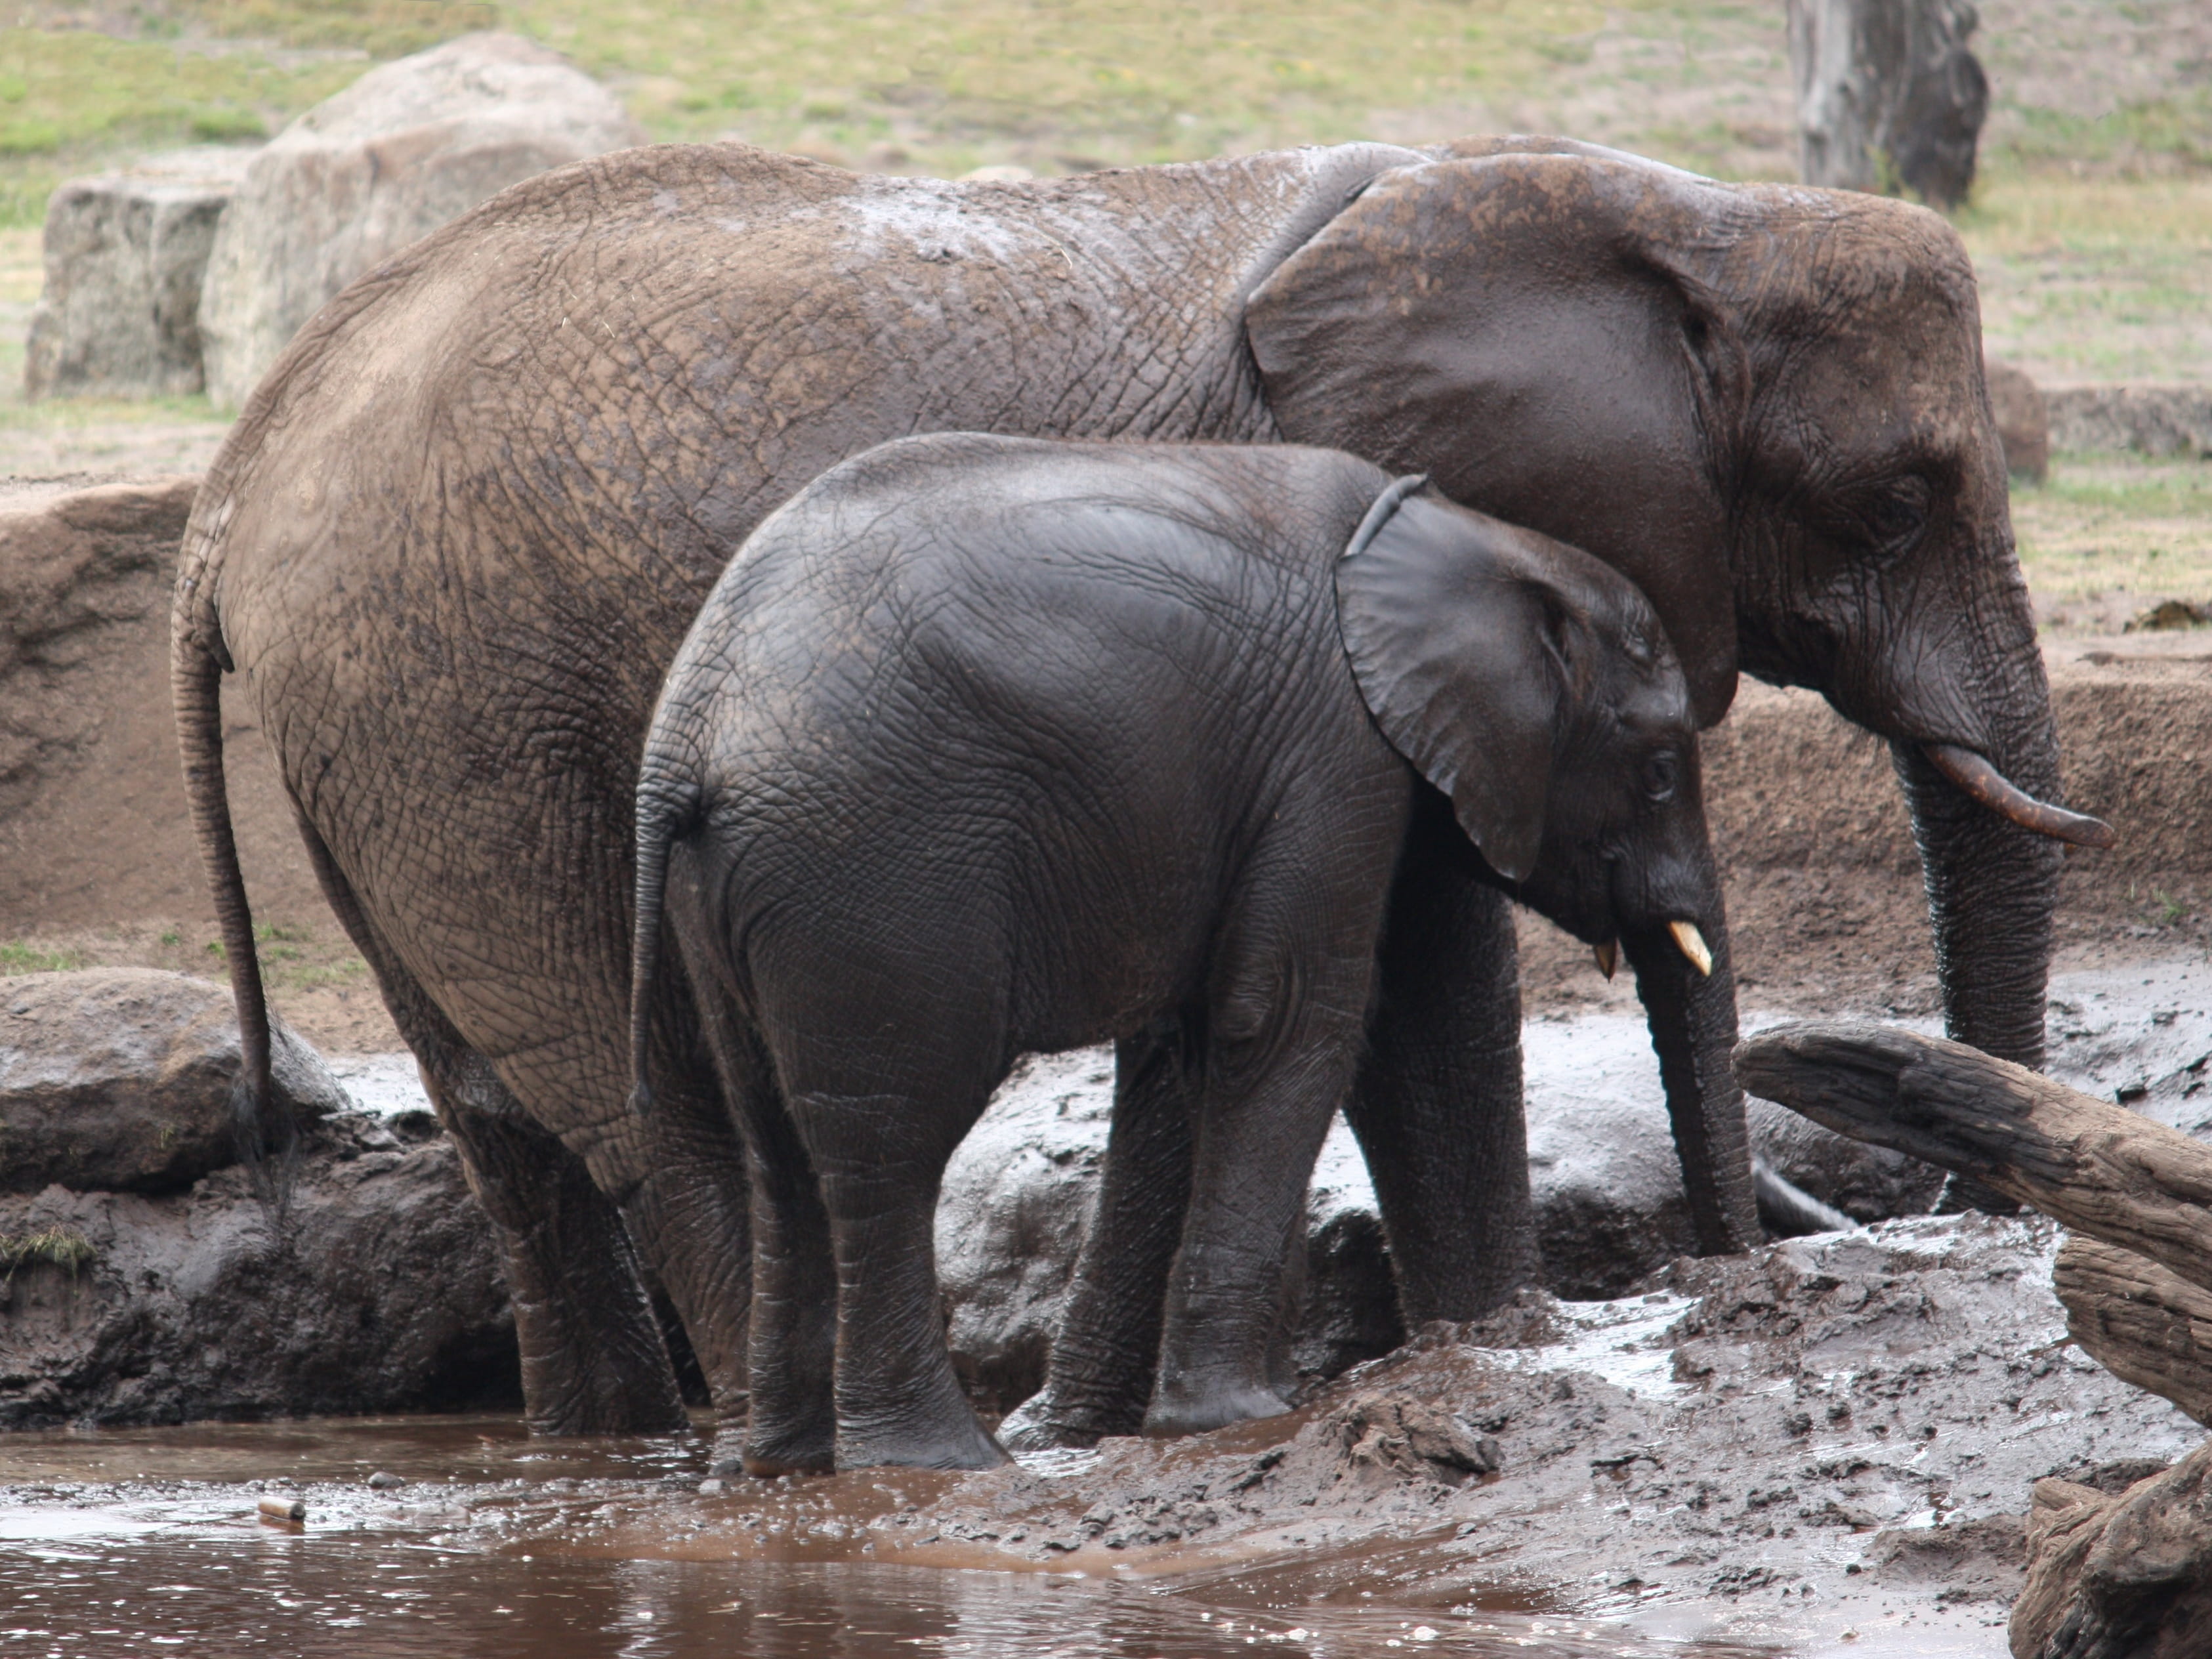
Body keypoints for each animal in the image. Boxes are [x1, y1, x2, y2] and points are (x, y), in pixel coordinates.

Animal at [626, 433, 1730, 1471]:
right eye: (1659, 769)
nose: (1709, 1276)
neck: (1474, 538)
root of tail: (685, 740)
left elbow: (1266, 1034)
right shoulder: (1331, 758)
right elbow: (1291, 1020)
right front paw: (1235, 1417)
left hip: (728, 896)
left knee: (774, 1145)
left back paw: (788, 1463)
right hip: (873, 876)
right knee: (887, 1153)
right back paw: (940, 1462)